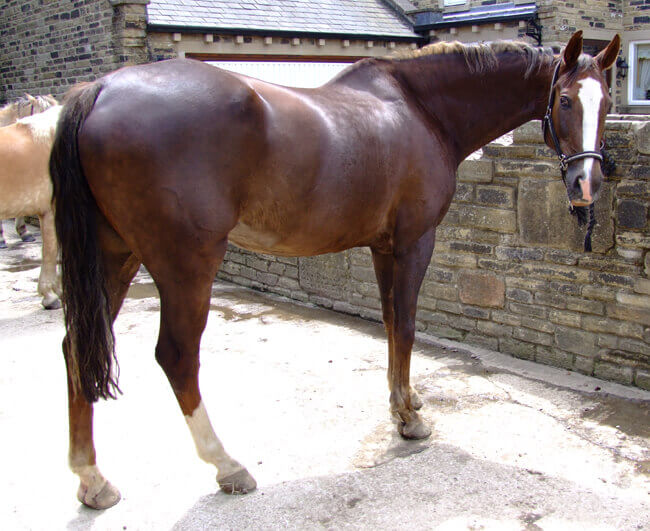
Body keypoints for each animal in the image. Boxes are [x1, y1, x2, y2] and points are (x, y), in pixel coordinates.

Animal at [50, 31, 616, 510]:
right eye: (566, 100)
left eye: (607, 101)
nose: (585, 185)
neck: (422, 110)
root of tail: (100, 90)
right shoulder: (415, 242)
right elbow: (407, 325)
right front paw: (409, 419)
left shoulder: (383, 248)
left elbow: (390, 324)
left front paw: (402, 401)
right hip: (185, 265)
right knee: (177, 357)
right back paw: (227, 465)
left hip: (115, 256)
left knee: (76, 347)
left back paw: (92, 479)